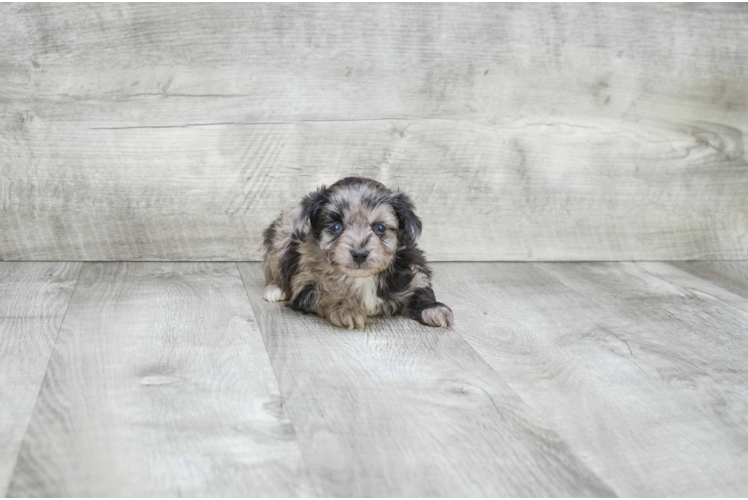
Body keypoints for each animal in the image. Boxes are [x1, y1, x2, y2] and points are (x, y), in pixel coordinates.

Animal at [260, 178, 452, 330]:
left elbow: (422, 288)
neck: (362, 278)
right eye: (336, 227)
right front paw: (346, 308)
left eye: (379, 228)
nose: (359, 254)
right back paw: (275, 288)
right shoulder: (305, 282)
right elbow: (325, 293)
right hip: (281, 234)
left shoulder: (414, 272)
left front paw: (434, 308)